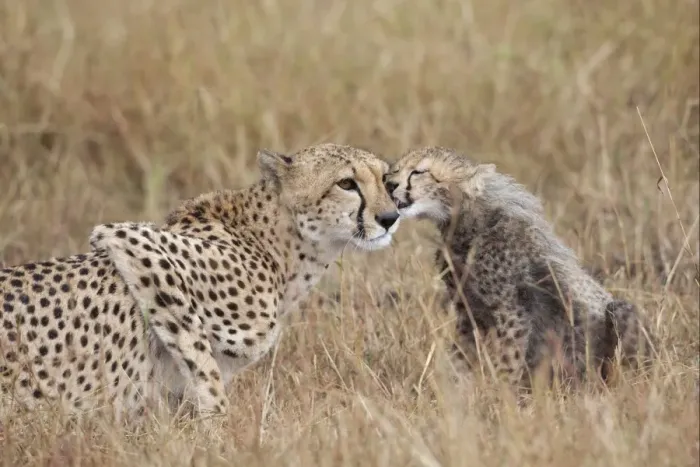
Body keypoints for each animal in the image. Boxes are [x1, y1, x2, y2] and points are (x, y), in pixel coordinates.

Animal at [0, 143, 400, 422]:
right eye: (346, 183)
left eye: (385, 180)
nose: (390, 217)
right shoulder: (132, 242)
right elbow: (204, 366)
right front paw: (219, 437)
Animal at [383, 146, 656, 393]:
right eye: (395, 169)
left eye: (419, 172)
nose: (389, 183)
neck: (464, 226)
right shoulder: (467, 313)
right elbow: (460, 357)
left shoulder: (512, 311)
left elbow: (508, 360)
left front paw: (500, 400)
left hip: (619, 313)